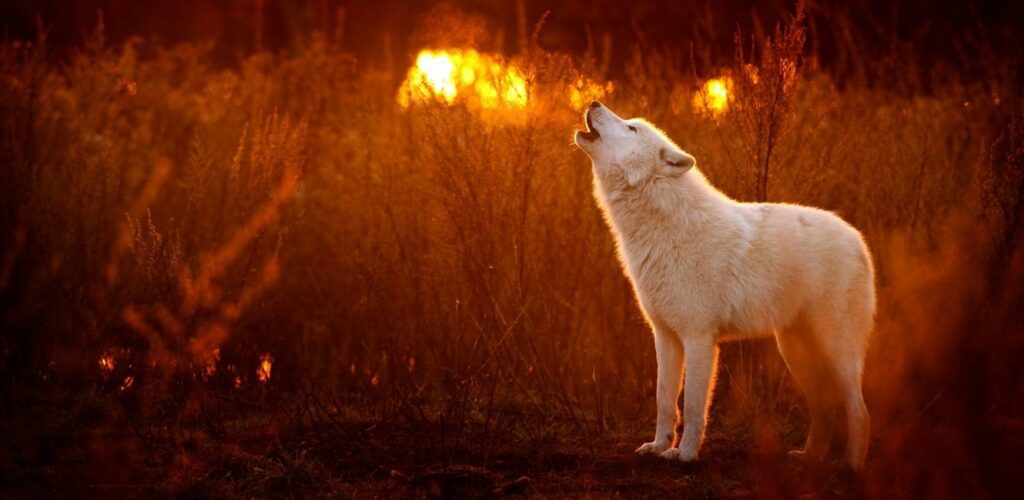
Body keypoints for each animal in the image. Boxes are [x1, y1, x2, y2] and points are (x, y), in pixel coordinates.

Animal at [574, 101, 876, 469]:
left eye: (632, 128)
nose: (594, 103)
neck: (663, 227)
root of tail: (857, 237)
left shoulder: (699, 338)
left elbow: (692, 406)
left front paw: (685, 454)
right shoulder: (665, 336)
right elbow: (664, 400)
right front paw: (658, 447)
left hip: (836, 350)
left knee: (859, 410)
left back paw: (852, 465)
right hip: (795, 351)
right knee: (825, 408)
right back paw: (809, 457)